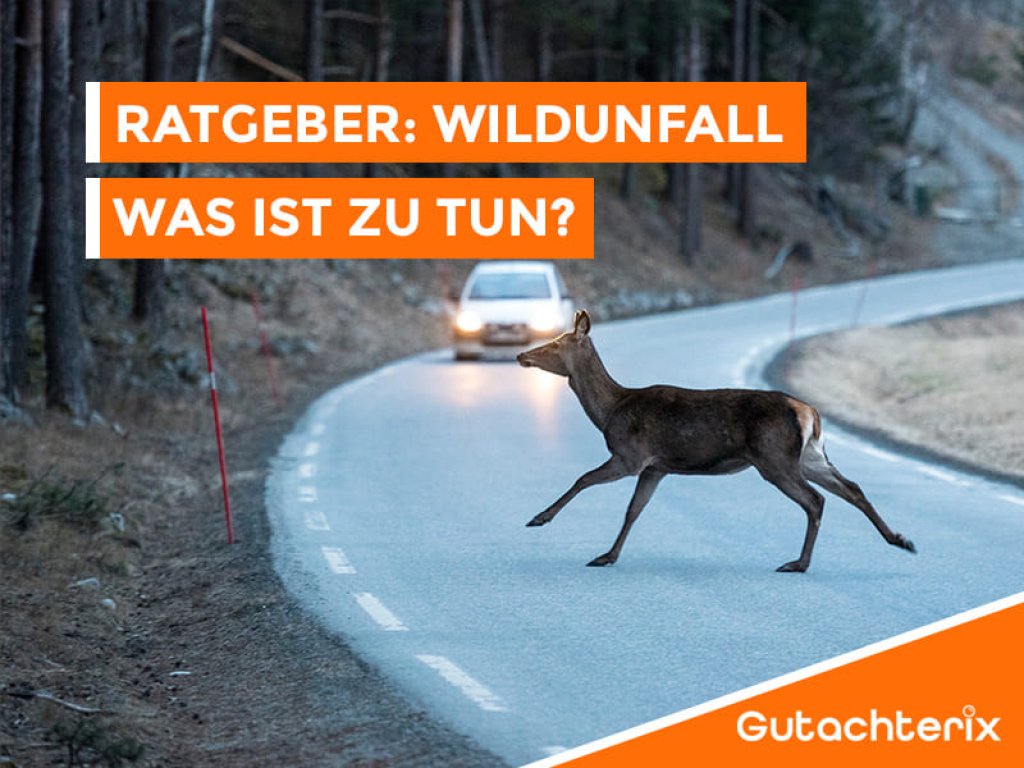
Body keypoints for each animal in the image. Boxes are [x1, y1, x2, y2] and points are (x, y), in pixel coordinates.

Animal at [516, 310, 916, 573]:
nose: (521, 355)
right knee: (852, 488)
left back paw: (799, 563)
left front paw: (539, 517)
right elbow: (634, 510)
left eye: (554, 345)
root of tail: (810, 413)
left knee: (815, 500)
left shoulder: (631, 455)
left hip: (775, 457)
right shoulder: (656, 467)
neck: (611, 410)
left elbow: (582, 479)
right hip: (809, 456)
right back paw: (900, 539)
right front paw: (608, 556)